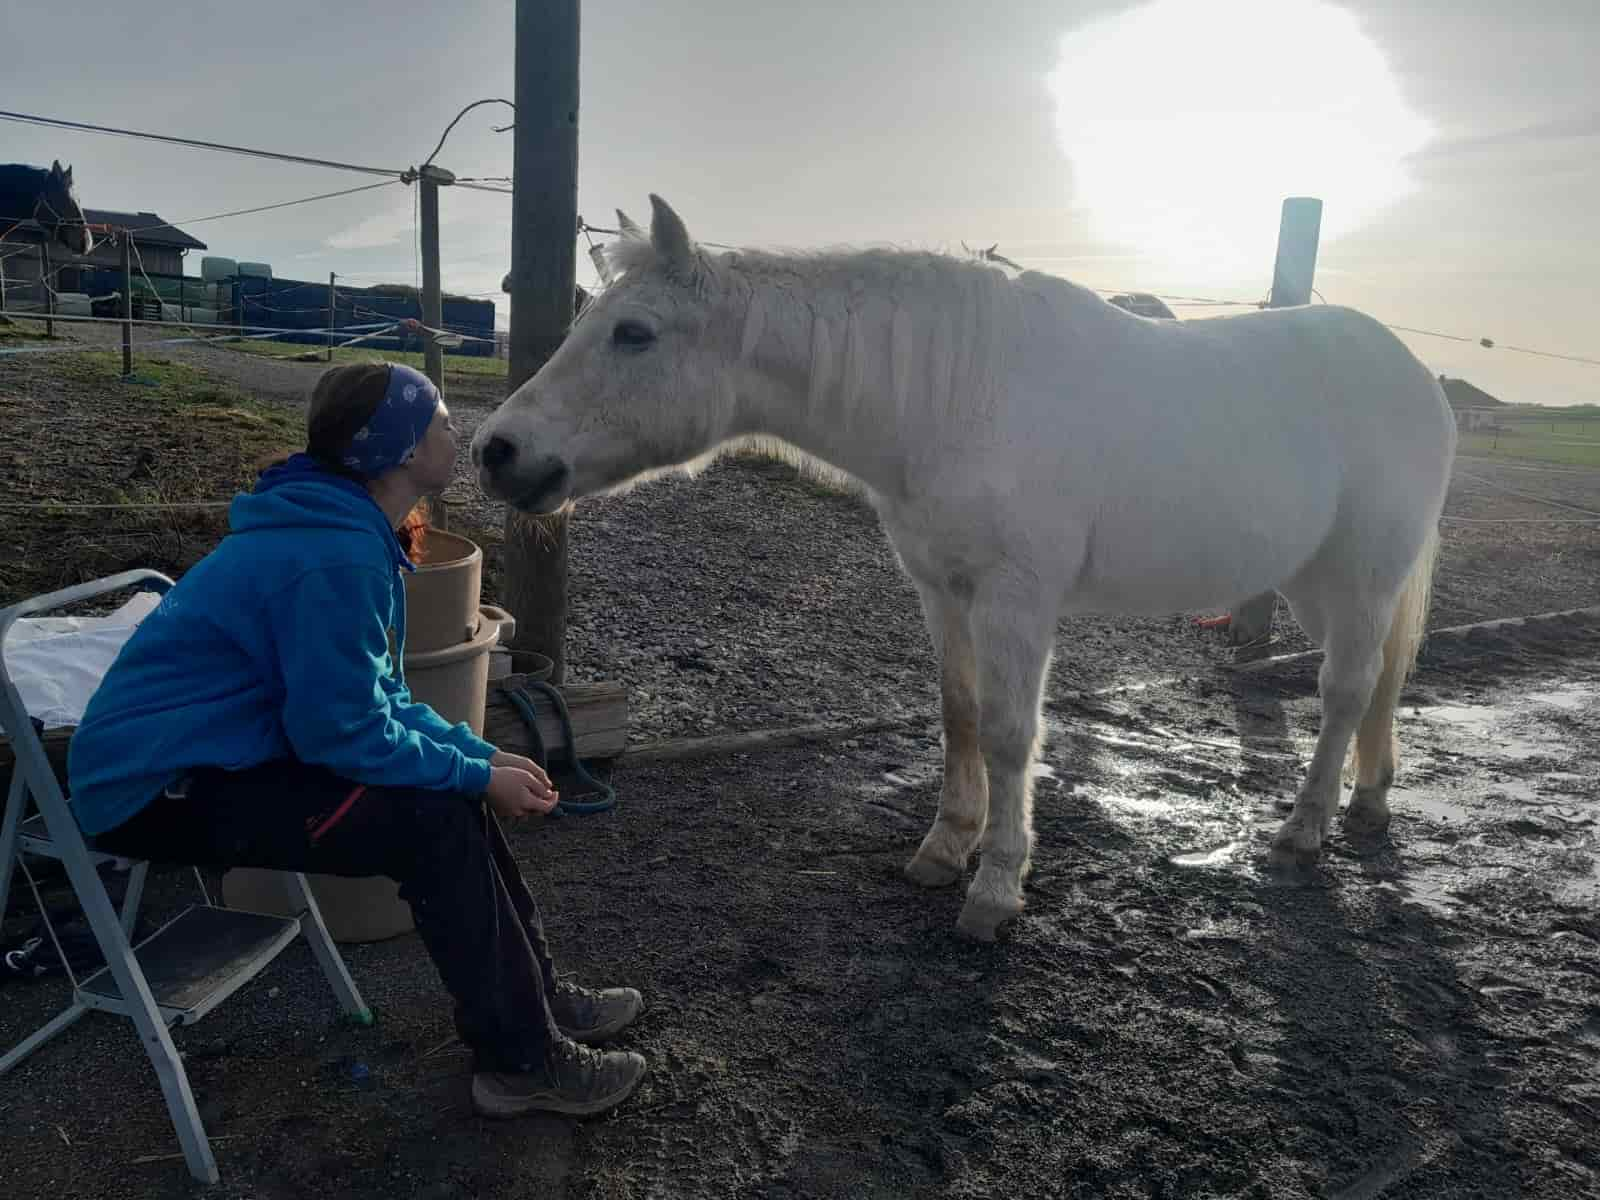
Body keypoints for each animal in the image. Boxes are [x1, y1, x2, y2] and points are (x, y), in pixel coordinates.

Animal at [467, 197, 1459, 947]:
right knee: (1371, 685)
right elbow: (959, 718)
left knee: (1343, 690)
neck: (951, 398)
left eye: (634, 333)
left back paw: (1301, 834)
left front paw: (995, 888)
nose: (498, 452)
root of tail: (1416, 373)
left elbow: (1014, 734)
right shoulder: (943, 593)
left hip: (1363, 577)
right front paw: (946, 849)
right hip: (1316, 582)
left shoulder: (1017, 602)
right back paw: (1367, 803)